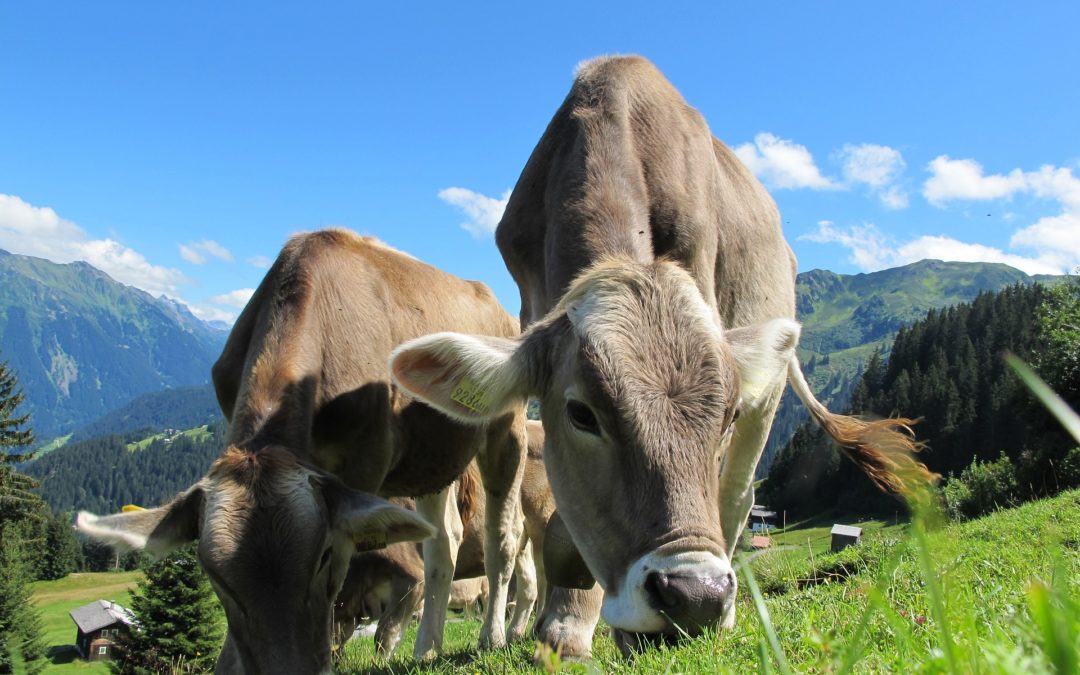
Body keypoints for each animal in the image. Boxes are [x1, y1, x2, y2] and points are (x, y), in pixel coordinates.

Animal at [73, 227, 524, 669]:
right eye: (213, 574)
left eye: (322, 555)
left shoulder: (364, 465)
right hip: (431, 460)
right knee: (443, 543)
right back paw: (426, 647)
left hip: (507, 428)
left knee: (502, 538)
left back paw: (493, 637)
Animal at [393, 55, 933, 656]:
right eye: (581, 414)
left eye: (726, 415)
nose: (696, 596)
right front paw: (564, 625)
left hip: (767, 396)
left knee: (737, 496)